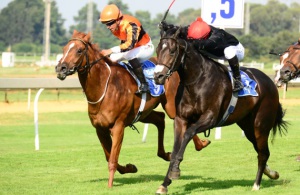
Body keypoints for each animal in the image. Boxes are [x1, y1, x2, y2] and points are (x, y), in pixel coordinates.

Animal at [55, 30, 209, 187]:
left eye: (79, 50)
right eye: (64, 49)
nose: (61, 68)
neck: (104, 88)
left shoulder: (118, 126)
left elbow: (112, 159)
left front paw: (110, 185)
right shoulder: (100, 129)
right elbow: (110, 157)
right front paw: (129, 168)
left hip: (171, 106)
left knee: (181, 121)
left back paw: (200, 144)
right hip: (143, 113)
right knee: (160, 119)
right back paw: (168, 153)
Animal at [154, 27, 288, 193]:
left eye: (172, 51)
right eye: (158, 50)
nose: (157, 76)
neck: (197, 80)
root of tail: (270, 81)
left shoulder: (210, 118)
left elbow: (188, 134)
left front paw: (175, 171)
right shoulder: (180, 119)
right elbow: (175, 148)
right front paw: (165, 184)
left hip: (260, 125)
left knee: (263, 153)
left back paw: (256, 184)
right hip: (247, 126)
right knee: (262, 151)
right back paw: (271, 173)